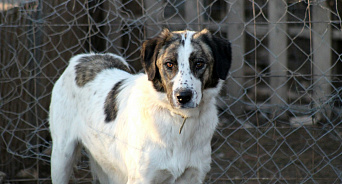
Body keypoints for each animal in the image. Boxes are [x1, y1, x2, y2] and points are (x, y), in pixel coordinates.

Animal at [49, 28, 231, 183]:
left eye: (199, 63)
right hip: (61, 157)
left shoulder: (193, 175)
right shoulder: (142, 178)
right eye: (169, 64)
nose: (183, 97)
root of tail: (84, 57)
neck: (178, 120)